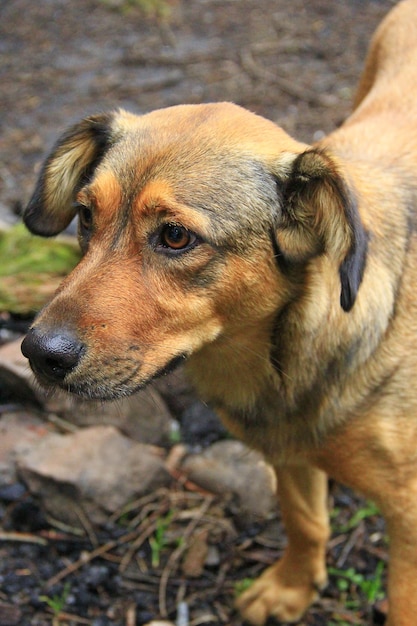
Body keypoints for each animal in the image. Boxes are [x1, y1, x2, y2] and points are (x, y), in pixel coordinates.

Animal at [21, 2, 416, 620]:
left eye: (176, 237)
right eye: (85, 215)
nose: (37, 354)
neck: (283, 364)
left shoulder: (410, 524)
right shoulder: (286, 453)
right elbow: (304, 521)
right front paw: (291, 589)